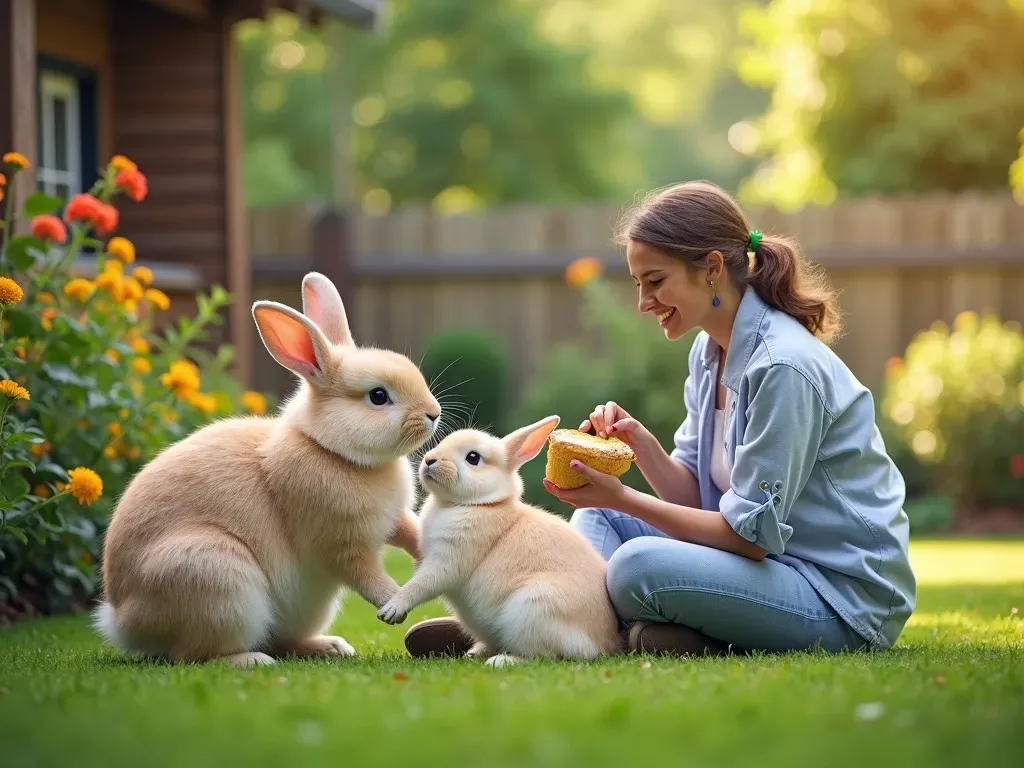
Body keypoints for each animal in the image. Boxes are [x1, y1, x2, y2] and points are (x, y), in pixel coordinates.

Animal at [96, 272, 444, 667]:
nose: (433, 413)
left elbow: (410, 532)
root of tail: (121, 621)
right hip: (216, 580)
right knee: (193, 655)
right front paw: (393, 604)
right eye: (378, 396)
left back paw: (330, 646)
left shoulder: (393, 519)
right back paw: (251, 661)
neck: (331, 451)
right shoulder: (342, 545)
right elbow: (365, 575)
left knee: (283, 641)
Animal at [376, 417, 622, 663]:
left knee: (543, 656)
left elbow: (422, 584)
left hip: (531, 610)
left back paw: (501, 661)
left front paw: (391, 609)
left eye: (473, 458)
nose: (429, 460)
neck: (479, 504)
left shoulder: (448, 560)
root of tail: (604, 643)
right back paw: (476, 652)